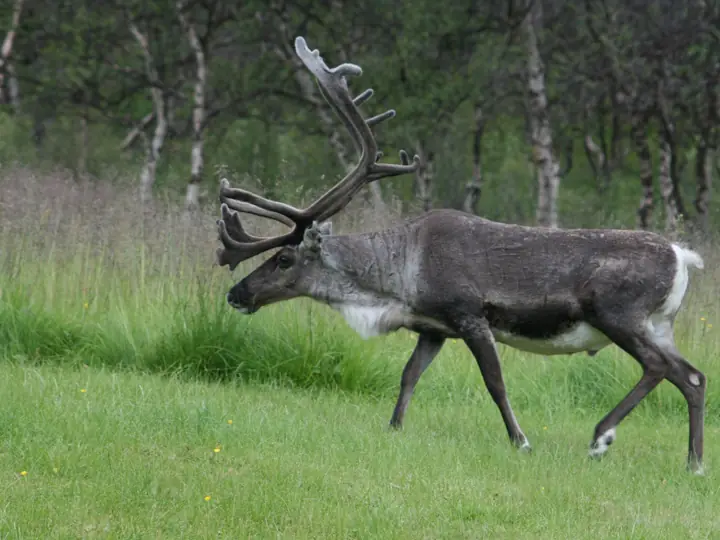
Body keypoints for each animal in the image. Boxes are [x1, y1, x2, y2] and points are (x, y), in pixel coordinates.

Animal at [216, 36, 707, 474]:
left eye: (284, 260)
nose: (237, 293)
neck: (396, 283)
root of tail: (683, 256)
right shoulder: (434, 329)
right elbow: (408, 376)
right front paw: (393, 429)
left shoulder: (469, 315)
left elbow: (495, 383)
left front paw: (521, 441)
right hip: (659, 324)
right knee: (692, 376)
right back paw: (694, 464)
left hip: (617, 313)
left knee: (658, 366)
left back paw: (602, 437)